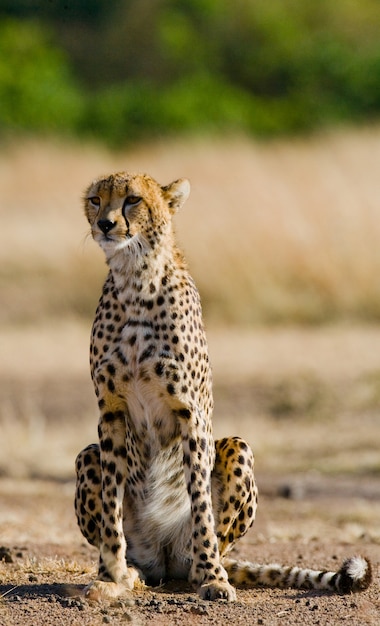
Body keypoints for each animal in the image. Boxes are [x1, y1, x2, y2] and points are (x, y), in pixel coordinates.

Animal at [74, 171, 372, 600]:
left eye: (132, 200)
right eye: (96, 199)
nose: (105, 224)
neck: (135, 278)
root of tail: (164, 559)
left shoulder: (190, 412)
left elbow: (200, 499)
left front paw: (213, 577)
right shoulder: (110, 410)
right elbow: (112, 499)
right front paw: (111, 574)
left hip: (238, 448)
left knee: (217, 534)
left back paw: (204, 566)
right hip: (88, 455)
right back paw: (131, 570)